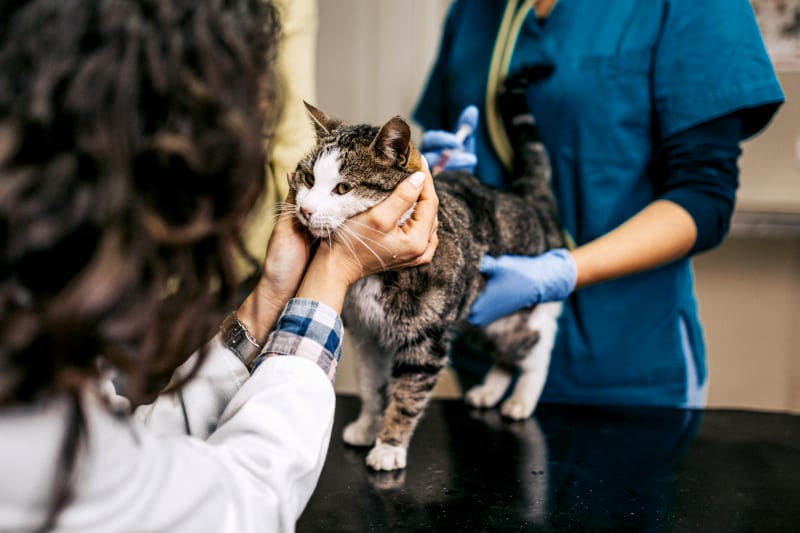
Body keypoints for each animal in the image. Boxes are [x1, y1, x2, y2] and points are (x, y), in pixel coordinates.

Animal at [290, 70, 564, 470]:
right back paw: (490, 389)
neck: (372, 274)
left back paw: (522, 399)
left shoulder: (427, 338)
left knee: (536, 345)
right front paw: (367, 426)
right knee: (505, 351)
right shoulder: (368, 337)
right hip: (478, 317)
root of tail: (531, 202)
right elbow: (371, 386)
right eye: (308, 179)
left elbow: (407, 393)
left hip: (519, 309)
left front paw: (389, 445)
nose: (306, 210)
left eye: (343, 188)